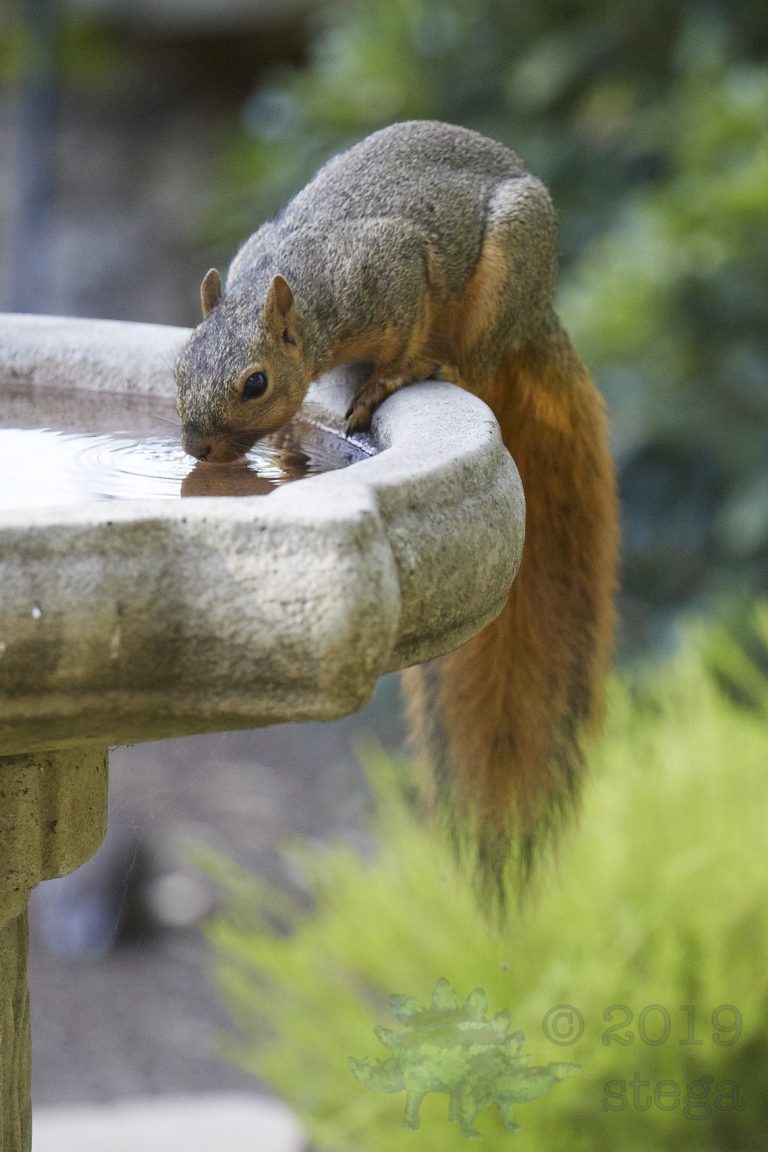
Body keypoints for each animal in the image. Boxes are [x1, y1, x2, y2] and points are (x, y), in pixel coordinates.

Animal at [175, 120, 619, 904]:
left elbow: (407, 324)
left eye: (255, 384)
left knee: (475, 357)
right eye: (177, 368)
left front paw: (387, 376)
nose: (198, 447)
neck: (304, 289)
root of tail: (540, 313)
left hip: (508, 270)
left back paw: (437, 366)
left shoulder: (393, 271)